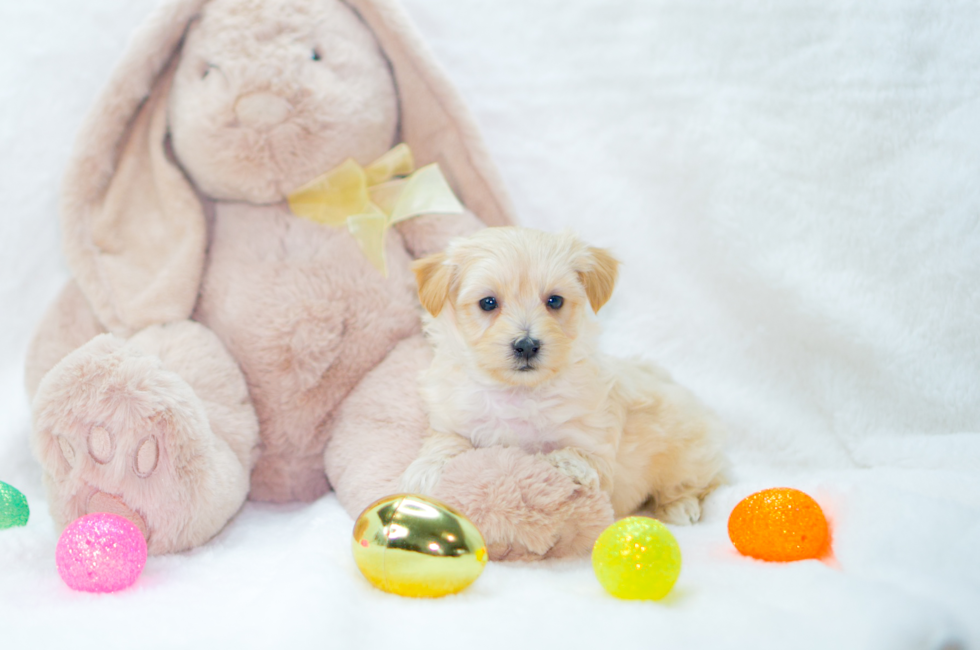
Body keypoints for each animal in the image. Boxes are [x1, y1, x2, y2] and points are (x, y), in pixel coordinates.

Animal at [398, 227, 728, 520]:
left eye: (554, 301)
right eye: (488, 303)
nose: (527, 345)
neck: (519, 392)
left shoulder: (597, 445)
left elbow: (582, 455)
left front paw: (568, 465)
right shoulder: (453, 421)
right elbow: (444, 443)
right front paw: (424, 471)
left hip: (687, 454)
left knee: (697, 482)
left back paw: (680, 506)